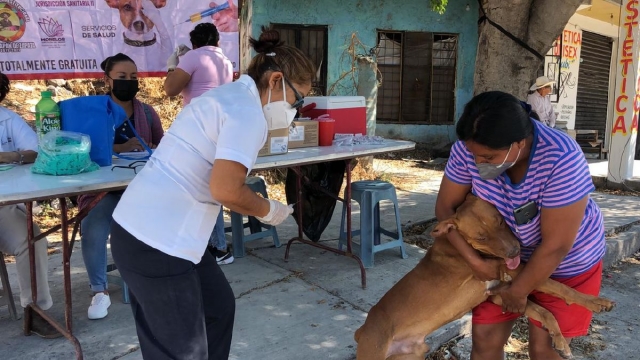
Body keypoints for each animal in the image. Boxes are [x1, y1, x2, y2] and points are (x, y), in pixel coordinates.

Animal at [356, 195, 616, 358]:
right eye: (480, 237)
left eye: (500, 221)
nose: (514, 252)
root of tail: (362, 331)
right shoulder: (514, 274)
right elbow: (561, 288)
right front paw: (597, 302)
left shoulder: (501, 293)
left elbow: (545, 312)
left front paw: (560, 341)